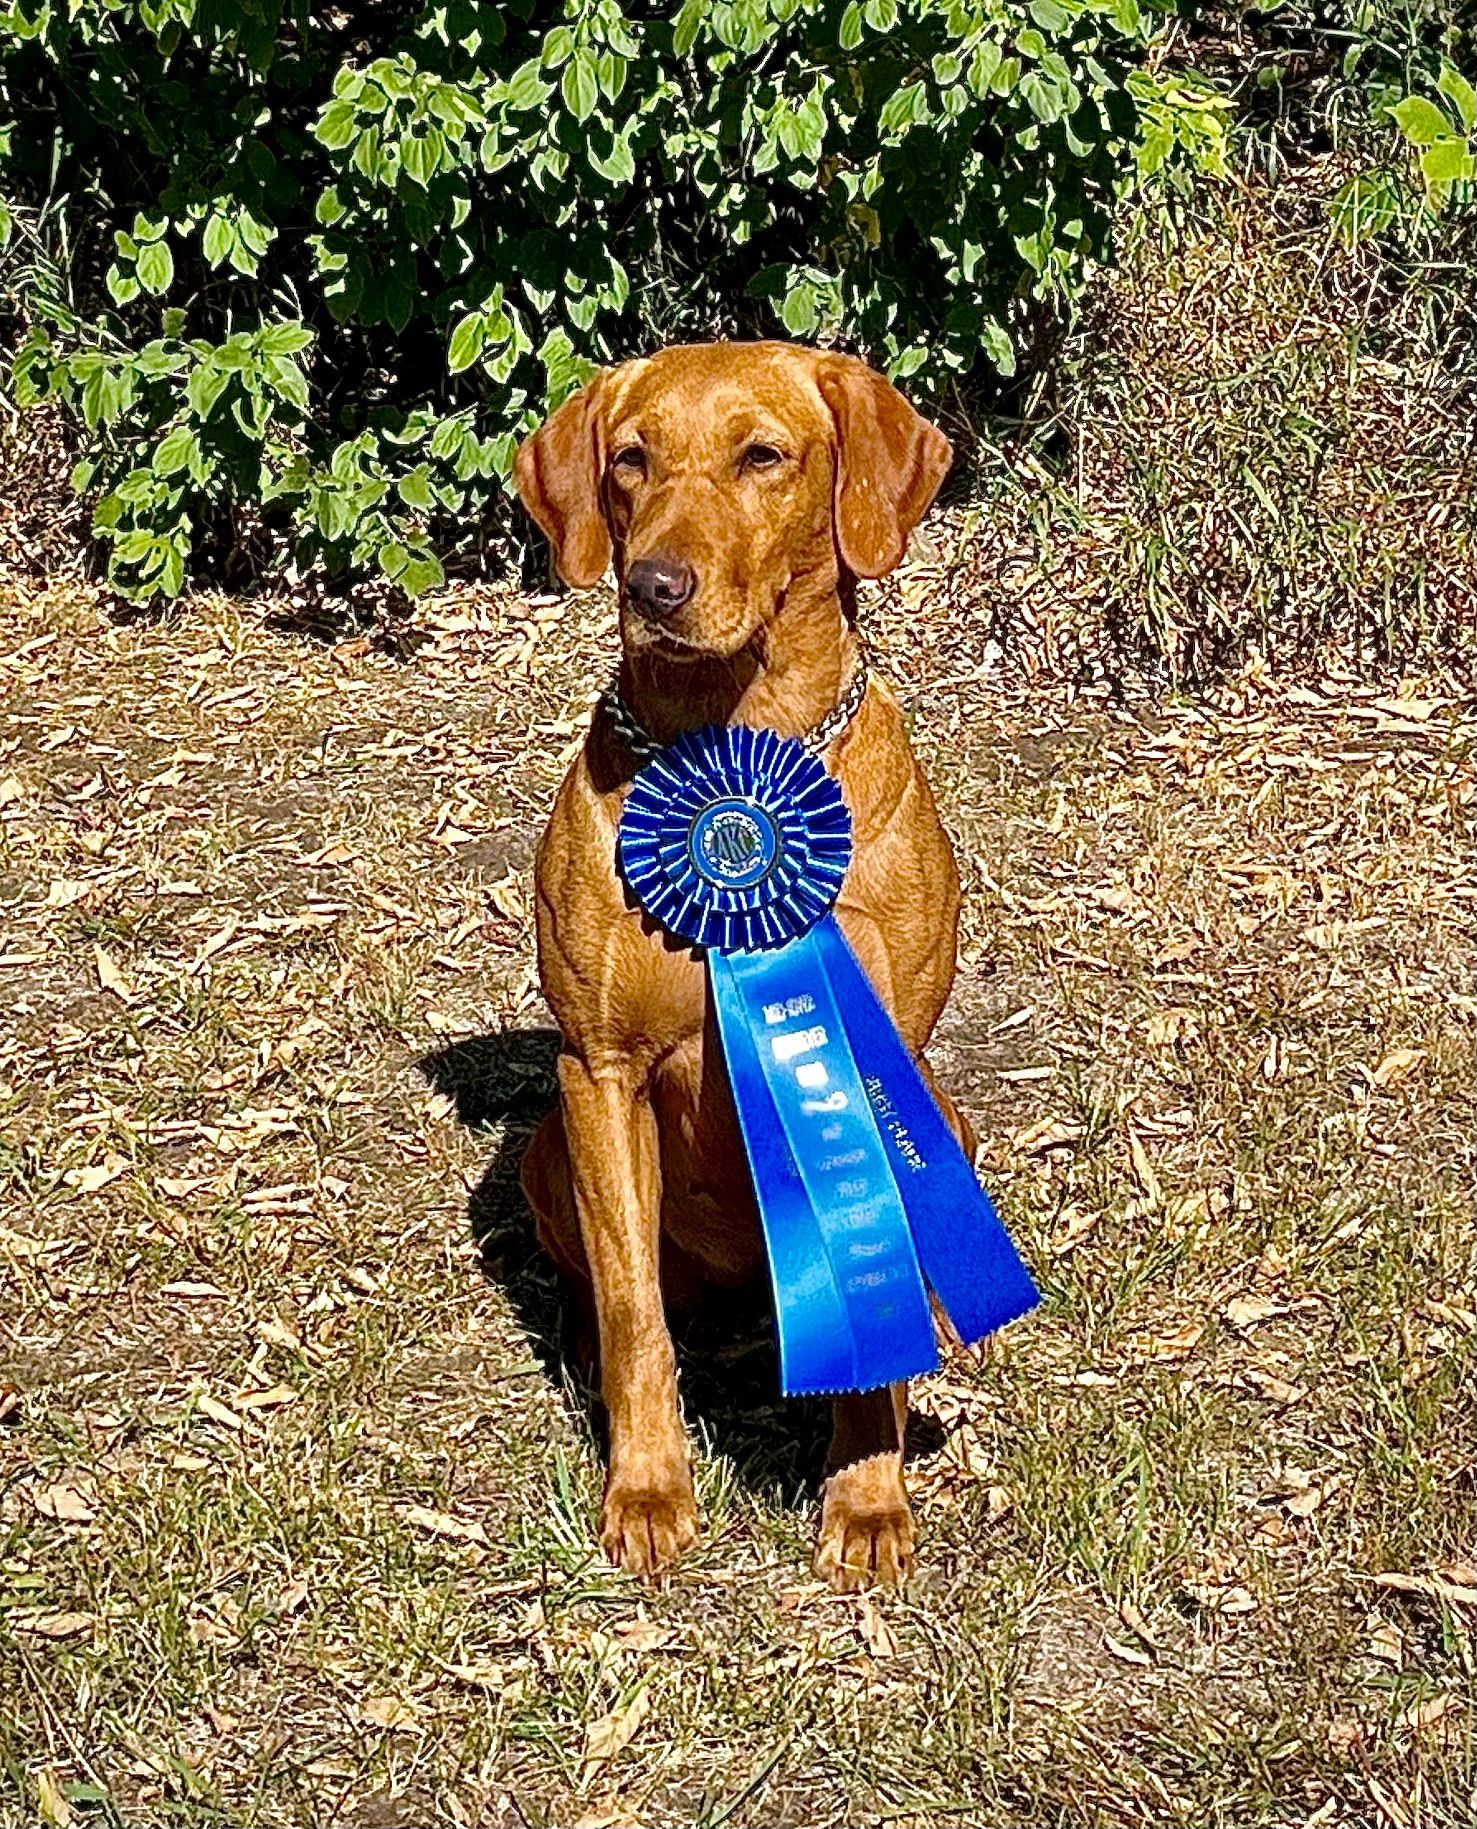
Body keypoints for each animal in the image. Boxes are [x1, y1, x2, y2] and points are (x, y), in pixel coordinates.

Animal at [513, 340, 980, 1590]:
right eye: (630, 459)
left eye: (761, 456)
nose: (653, 586)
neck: (735, 739)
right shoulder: (599, 1067)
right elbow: (634, 1315)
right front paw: (647, 1486)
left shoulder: (875, 1056)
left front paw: (865, 1493)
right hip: (546, 1147)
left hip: (947, 1115)